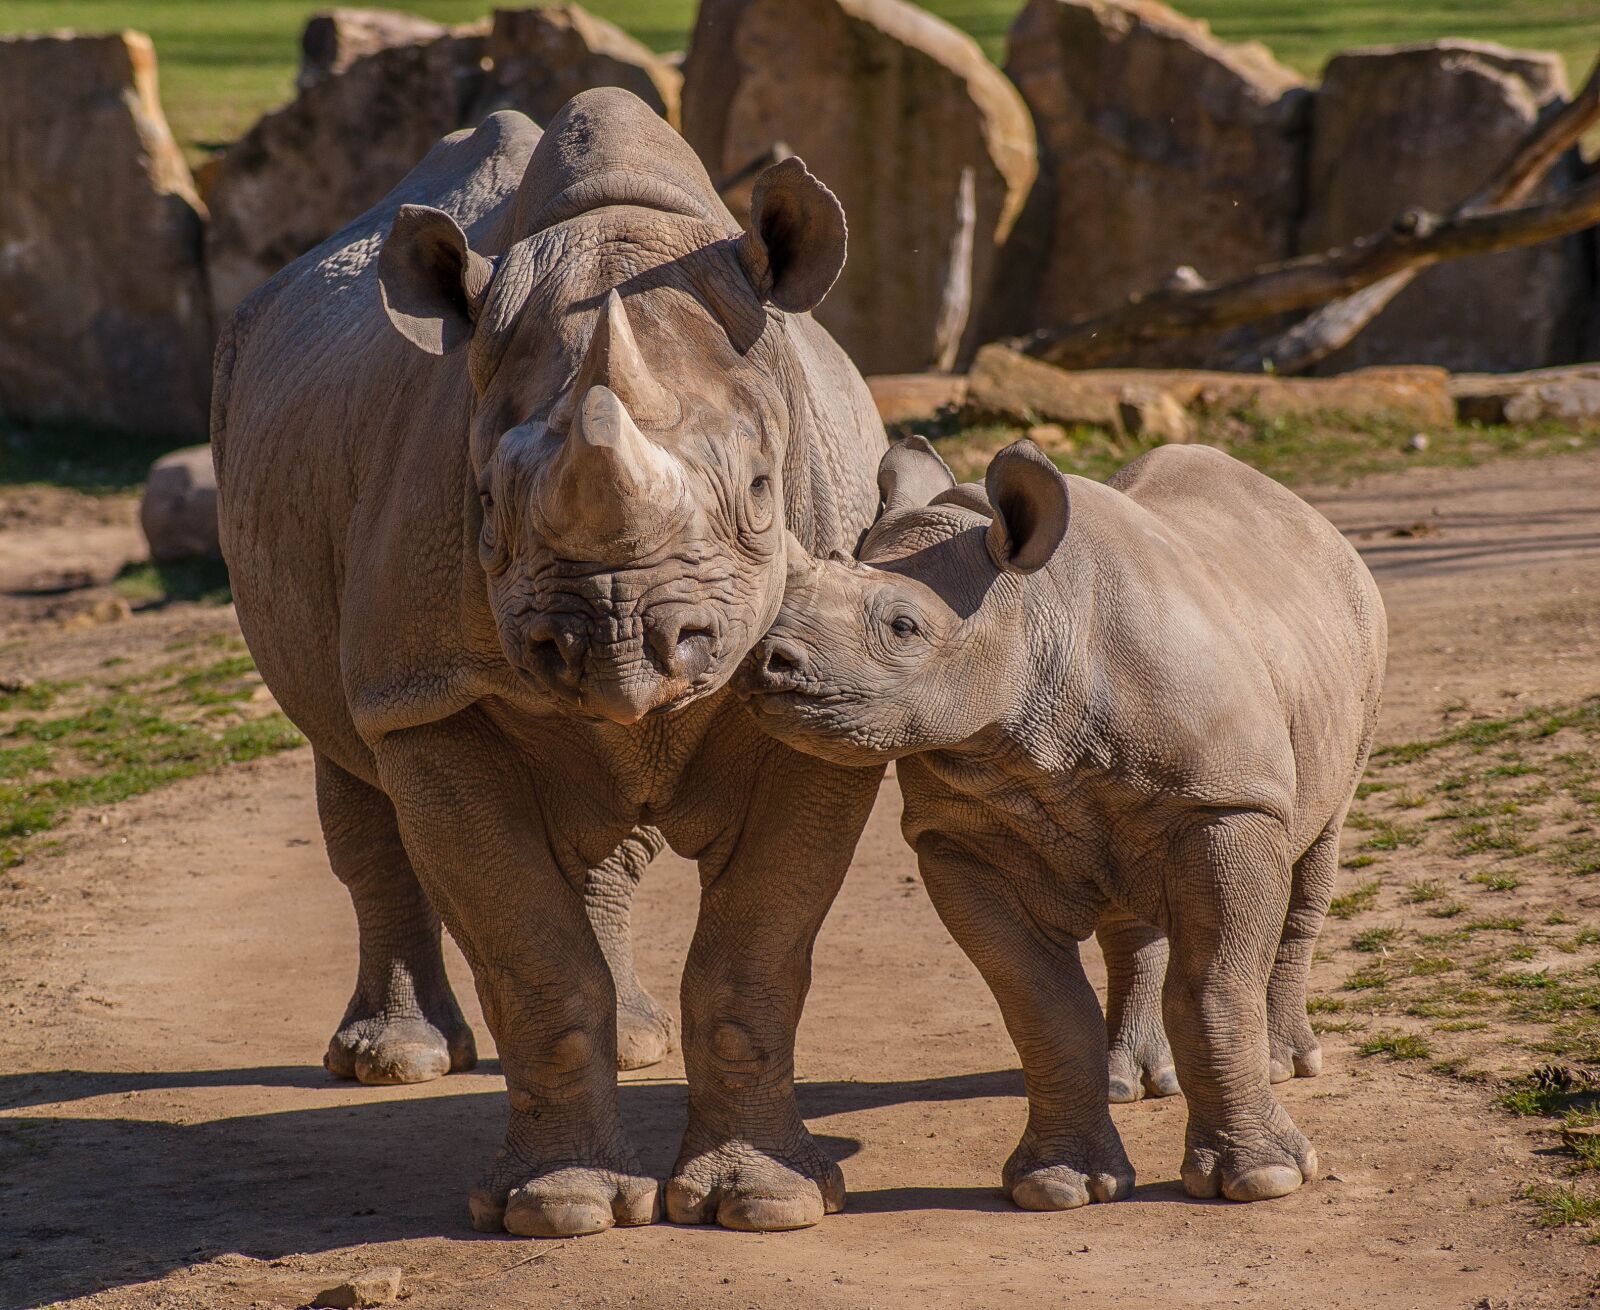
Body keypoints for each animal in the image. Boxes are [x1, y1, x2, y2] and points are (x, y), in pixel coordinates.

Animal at [211, 92, 889, 1241]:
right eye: (485, 507)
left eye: (763, 492)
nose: (618, 641)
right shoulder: (429, 692)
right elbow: (532, 955)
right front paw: (561, 1208)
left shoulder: (826, 707)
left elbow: (754, 955)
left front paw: (764, 1202)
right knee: (347, 760)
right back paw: (392, 1061)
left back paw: (635, 1042)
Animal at [742, 438, 1382, 1209]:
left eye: (904, 627)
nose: (768, 660)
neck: (1032, 614)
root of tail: (1313, 521)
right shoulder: (959, 838)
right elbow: (1042, 1009)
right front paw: (1057, 1187)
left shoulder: (1226, 802)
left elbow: (1213, 987)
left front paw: (1264, 1179)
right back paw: (1129, 1082)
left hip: (1353, 650)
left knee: (1315, 849)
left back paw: (1290, 1061)